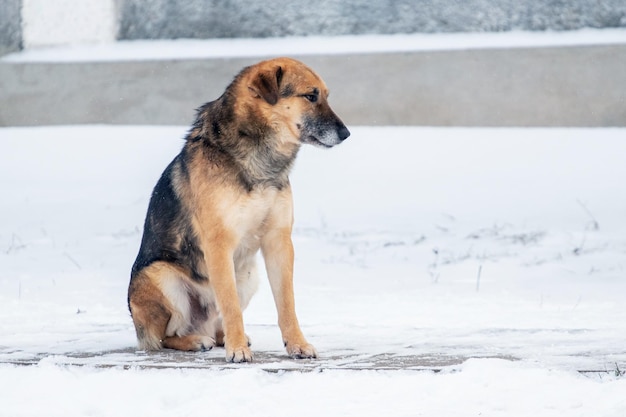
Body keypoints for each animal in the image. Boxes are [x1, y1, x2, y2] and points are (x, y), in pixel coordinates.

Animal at [125, 56, 352, 360]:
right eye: (310, 96)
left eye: (325, 96)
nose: (346, 134)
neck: (260, 156)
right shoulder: (219, 244)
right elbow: (230, 305)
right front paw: (238, 351)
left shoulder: (279, 242)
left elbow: (287, 303)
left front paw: (296, 343)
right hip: (160, 275)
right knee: (164, 337)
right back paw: (197, 340)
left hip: (248, 275)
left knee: (216, 326)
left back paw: (230, 336)